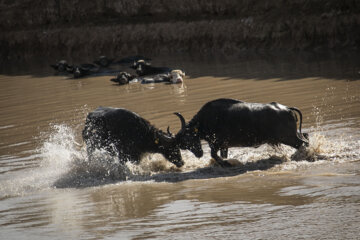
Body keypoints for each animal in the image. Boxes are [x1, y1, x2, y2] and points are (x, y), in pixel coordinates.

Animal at [174, 97, 310, 167]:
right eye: (183, 145)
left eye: (188, 138)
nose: (199, 154)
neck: (206, 120)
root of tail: (287, 109)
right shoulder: (223, 146)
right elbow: (220, 155)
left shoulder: (217, 144)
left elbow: (214, 155)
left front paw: (227, 164)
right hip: (293, 135)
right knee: (306, 137)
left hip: (288, 138)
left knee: (302, 144)